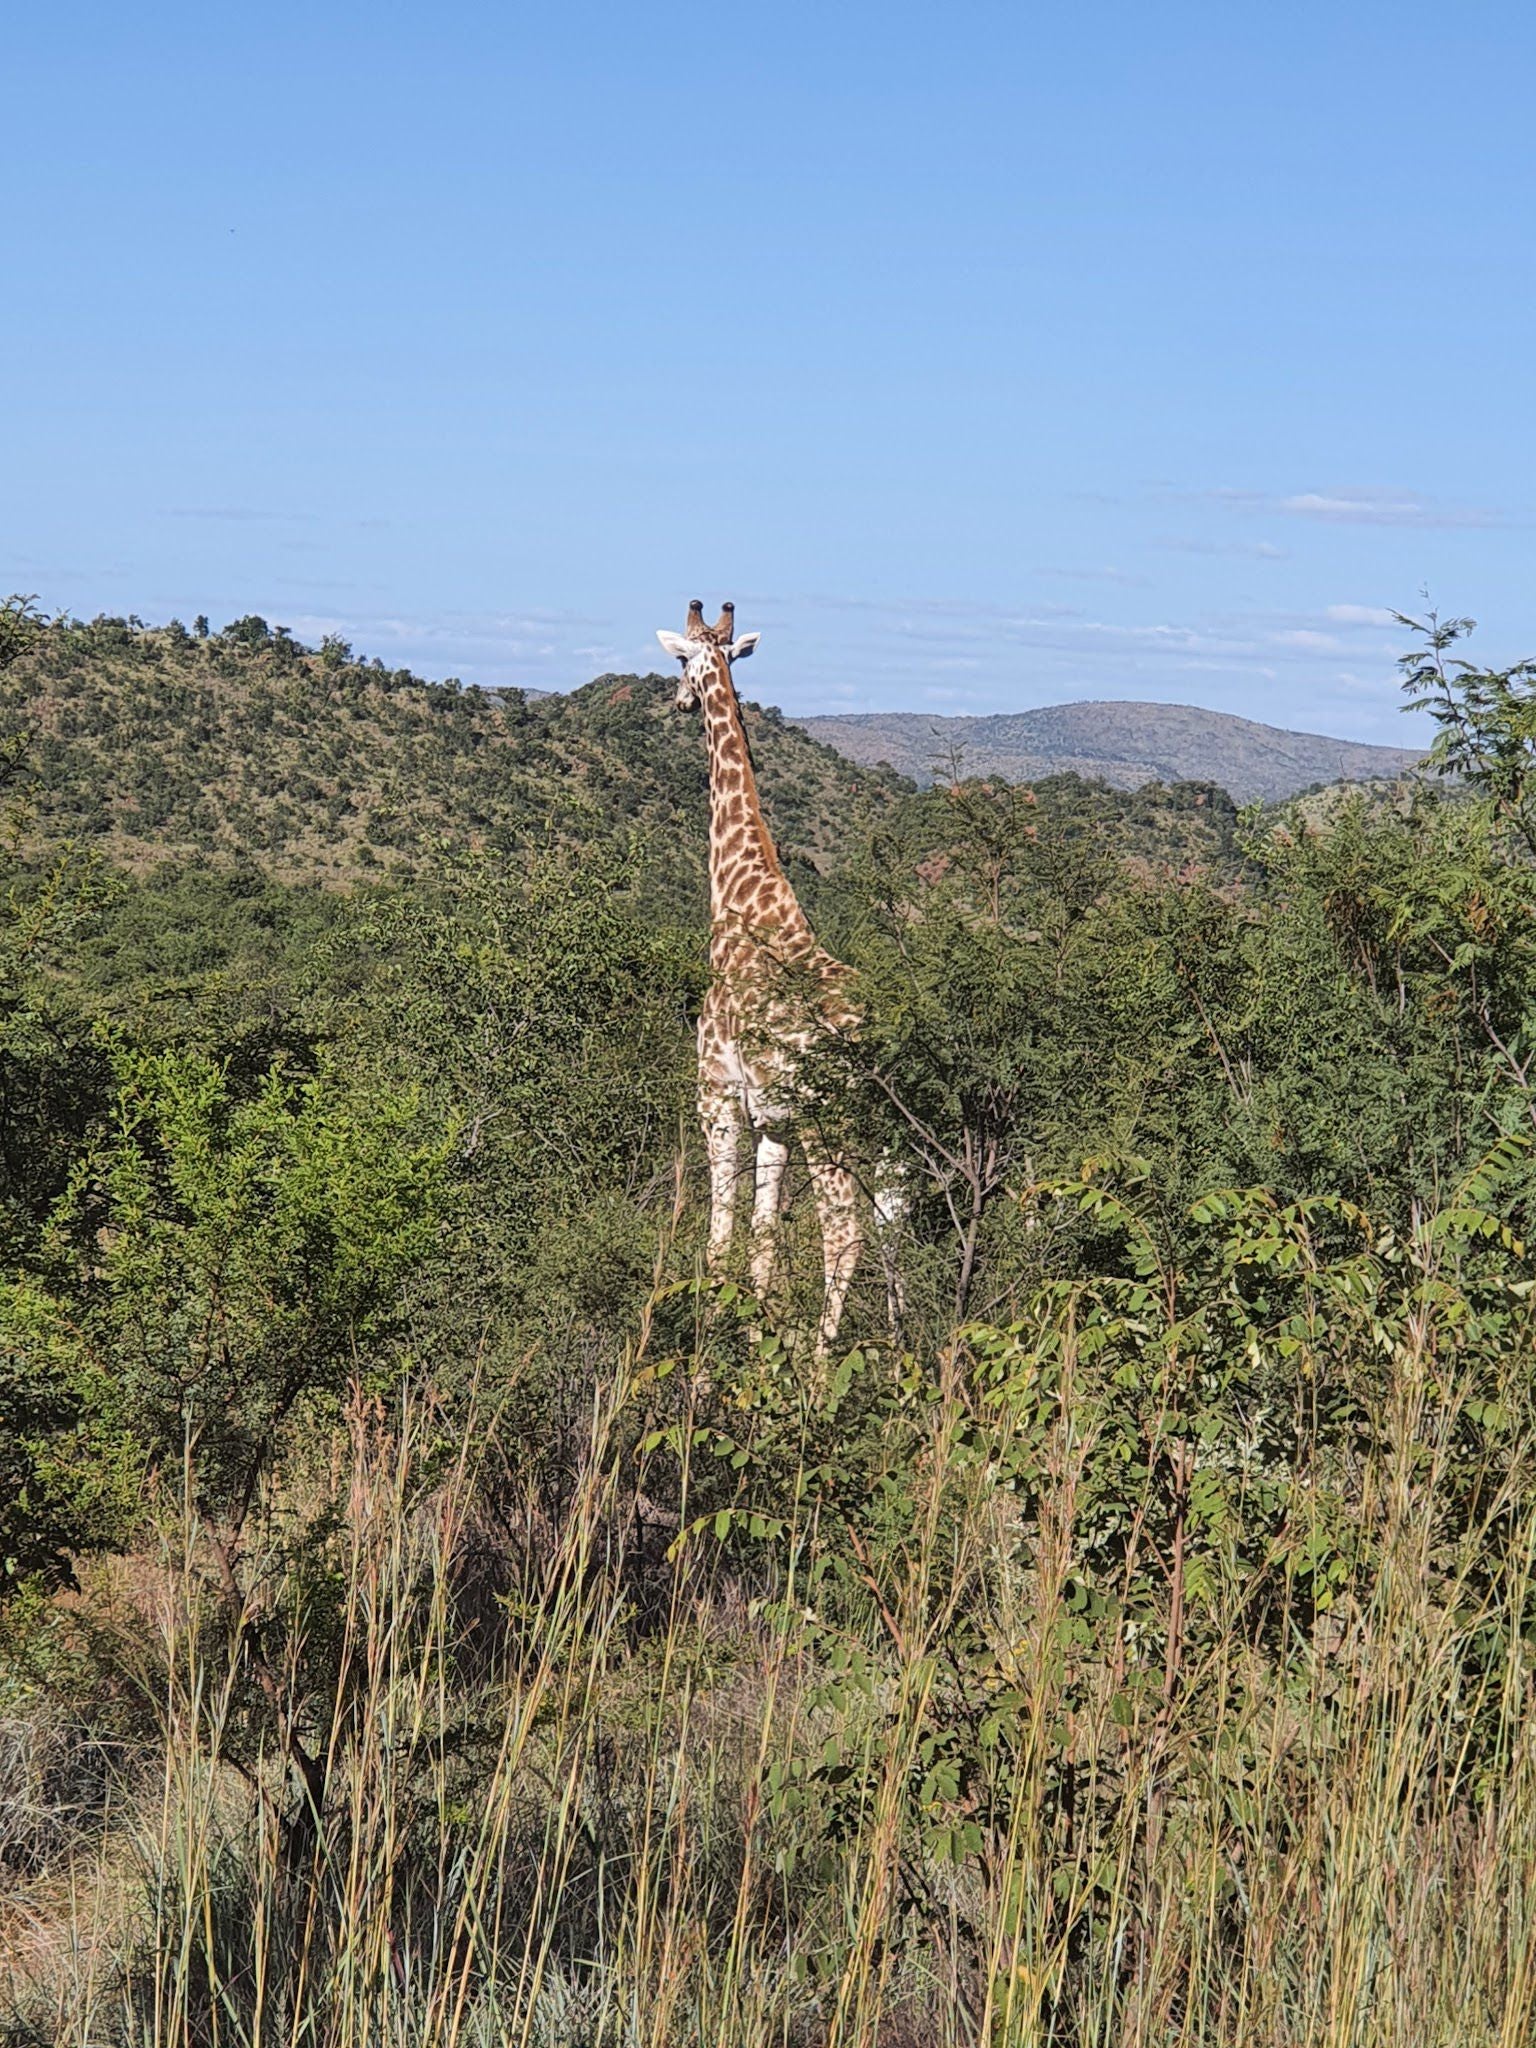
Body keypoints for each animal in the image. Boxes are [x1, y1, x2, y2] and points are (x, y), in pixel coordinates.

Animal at [655, 598, 876, 1351]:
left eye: (677, 662)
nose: (678, 700)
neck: (739, 903)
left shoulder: (717, 1097)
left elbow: (721, 1234)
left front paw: (707, 1344)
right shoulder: (771, 1120)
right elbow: (762, 1241)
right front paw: (754, 1339)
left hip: (828, 1121)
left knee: (845, 1230)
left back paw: (820, 1366)